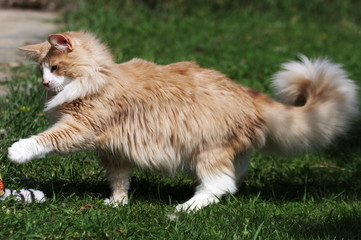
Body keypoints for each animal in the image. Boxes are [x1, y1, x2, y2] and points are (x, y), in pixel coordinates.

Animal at [7, 30, 356, 212]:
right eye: (41, 71)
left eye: (54, 68)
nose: (44, 83)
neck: (99, 77)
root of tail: (247, 93)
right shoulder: (114, 152)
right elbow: (119, 181)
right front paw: (117, 204)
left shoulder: (81, 128)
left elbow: (46, 139)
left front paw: (17, 151)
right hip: (226, 152)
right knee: (231, 181)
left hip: (207, 150)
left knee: (219, 184)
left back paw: (187, 207)